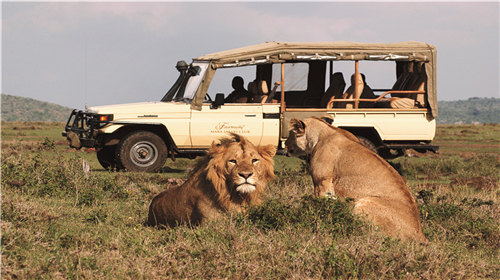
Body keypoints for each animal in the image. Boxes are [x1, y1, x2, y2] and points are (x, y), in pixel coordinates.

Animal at [286, 116, 426, 243]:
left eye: (289, 134)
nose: (285, 145)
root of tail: (420, 235)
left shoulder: (322, 182)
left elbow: (321, 207)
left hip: (364, 203)